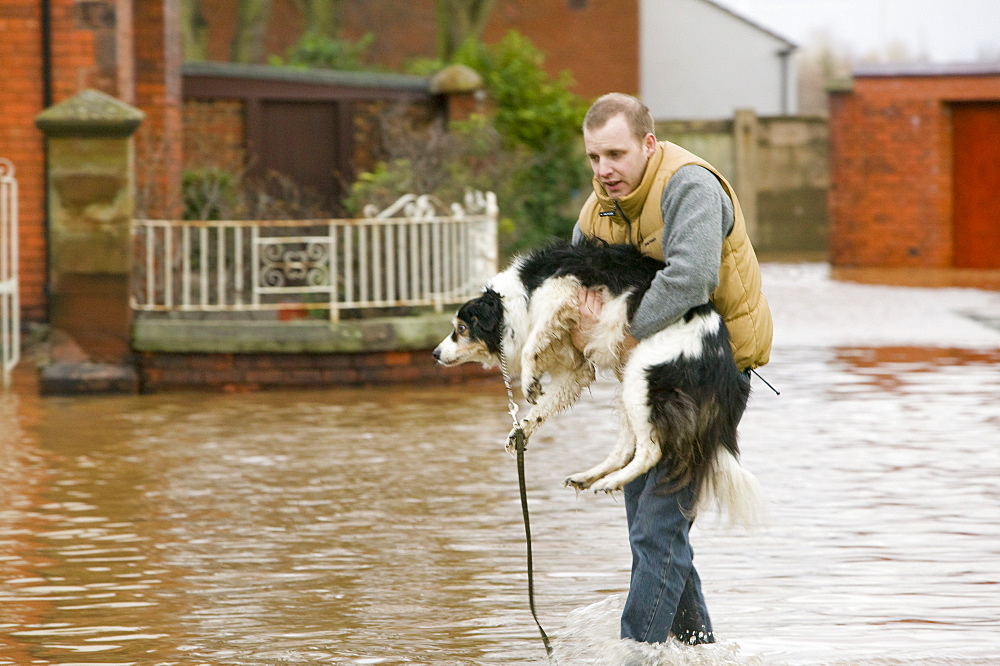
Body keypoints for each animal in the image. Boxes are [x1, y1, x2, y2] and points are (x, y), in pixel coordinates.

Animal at [432, 239, 764, 524]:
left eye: (461, 328)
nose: (435, 353)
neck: (514, 300)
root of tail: (719, 355)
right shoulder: (575, 369)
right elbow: (540, 408)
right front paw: (520, 431)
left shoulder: (561, 293)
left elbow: (530, 349)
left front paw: (528, 381)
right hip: (630, 386)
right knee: (626, 447)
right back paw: (590, 477)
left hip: (641, 378)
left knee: (650, 451)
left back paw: (611, 480)